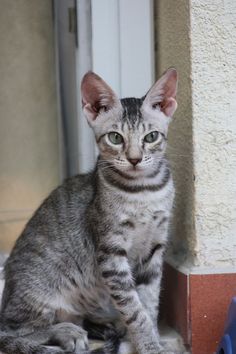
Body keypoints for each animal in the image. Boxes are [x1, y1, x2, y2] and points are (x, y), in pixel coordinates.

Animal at [0, 67, 178, 354]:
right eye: (115, 138)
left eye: (151, 137)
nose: (135, 159)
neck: (143, 191)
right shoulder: (111, 252)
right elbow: (133, 307)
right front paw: (149, 344)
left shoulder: (154, 249)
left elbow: (149, 301)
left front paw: (152, 338)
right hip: (40, 290)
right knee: (12, 330)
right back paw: (67, 332)